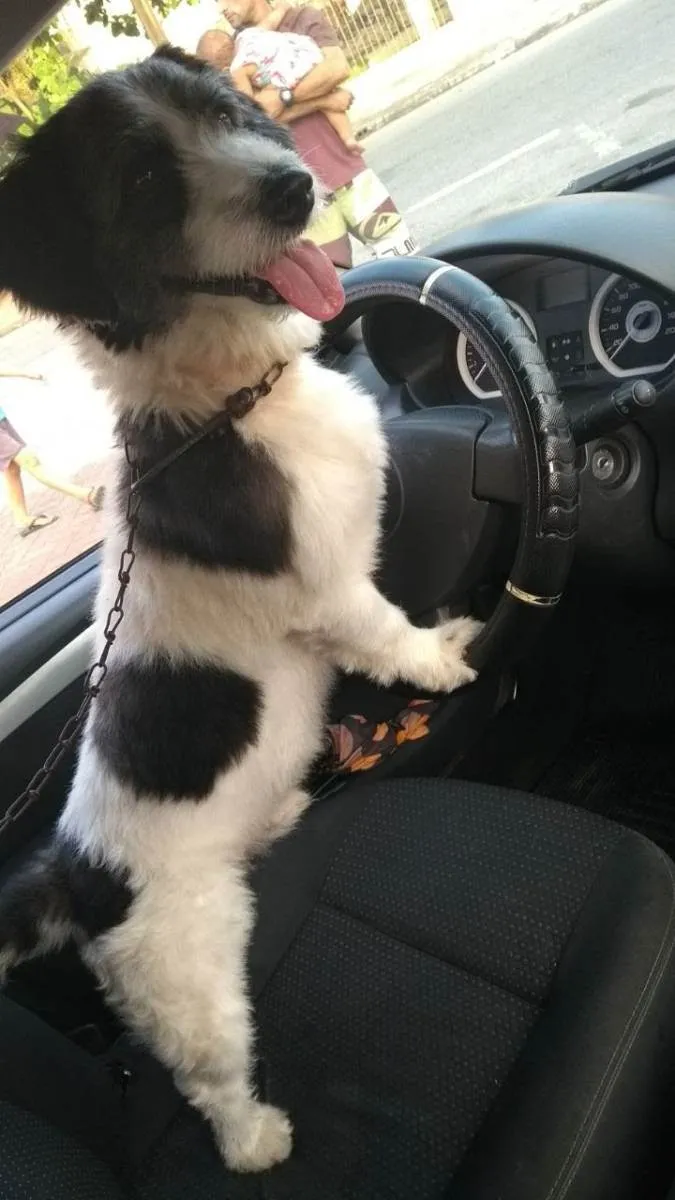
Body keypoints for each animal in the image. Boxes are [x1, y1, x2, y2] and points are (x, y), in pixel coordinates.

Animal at [0, 47, 479, 1173]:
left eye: (228, 111)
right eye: (141, 181)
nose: (294, 186)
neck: (229, 398)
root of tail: (73, 875)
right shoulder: (335, 590)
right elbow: (386, 633)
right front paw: (441, 657)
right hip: (188, 981)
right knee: (209, 1074)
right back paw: (253, 1137)